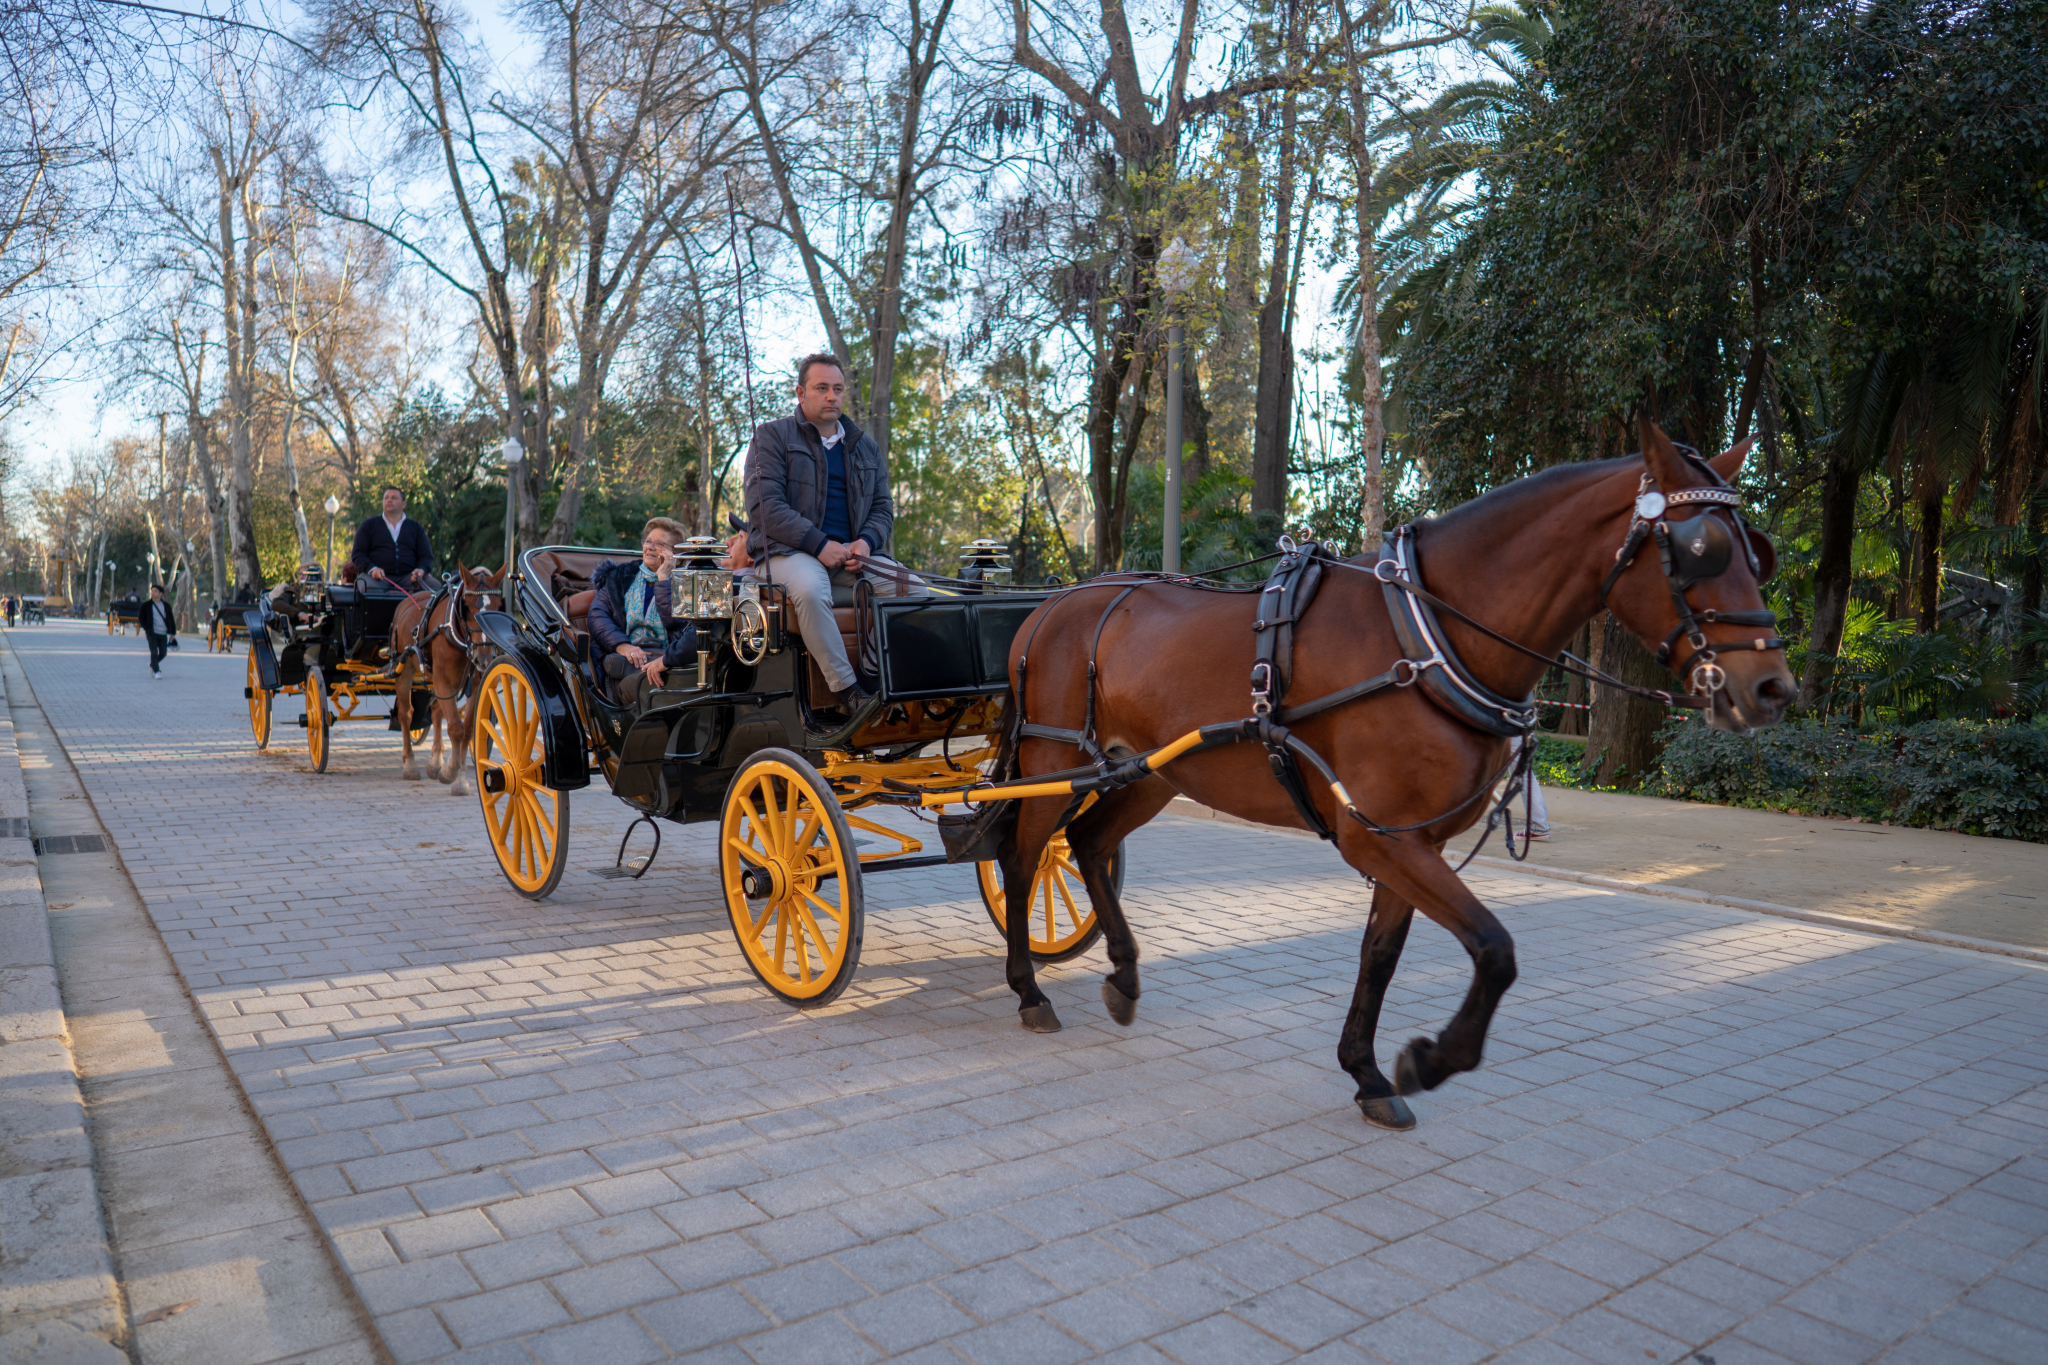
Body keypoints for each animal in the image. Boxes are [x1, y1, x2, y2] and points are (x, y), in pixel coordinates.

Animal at [393, 564, 505, 794]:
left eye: (498, 607)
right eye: (467, 607)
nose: (484, 658)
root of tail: (409, 599)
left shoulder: (476, 684)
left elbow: (468, 729)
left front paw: (459, 776)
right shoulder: (444, 681)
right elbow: (455, 727)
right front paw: (451, 772)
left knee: (436, 711)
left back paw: (435, 761)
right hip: (405, 668)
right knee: (406, 714)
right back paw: (410, 764)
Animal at [991, 427, 1794, 1129]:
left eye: (1758, 554)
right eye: (1700, 548)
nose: (1773, 688)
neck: (1427, 639)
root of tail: (1050, 606)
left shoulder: (1411, 839)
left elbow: (1381, 955)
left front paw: (1369, 1071)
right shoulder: (1378, 836)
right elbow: (1495, 949)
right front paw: (1431, 1059)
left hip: (1153, 773)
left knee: (1090, 844)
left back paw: (1123, 975)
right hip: (1053, 764)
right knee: (1025, 856)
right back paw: (1027, 988)